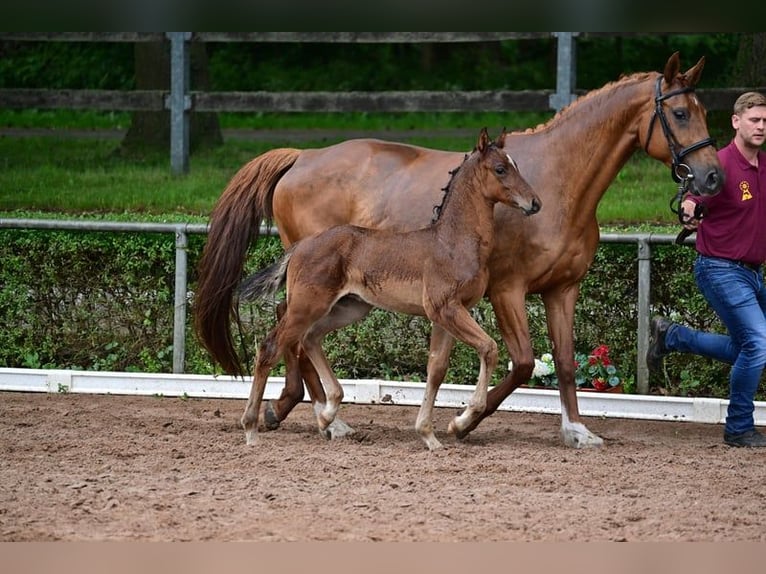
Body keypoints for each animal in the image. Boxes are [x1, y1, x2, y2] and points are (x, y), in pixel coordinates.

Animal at [236, 128, 541, 450]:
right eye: (500, 168)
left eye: (515, 165)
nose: (534, 203)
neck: (452, 241)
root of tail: (300, 246)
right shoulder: (446, 309)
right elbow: (489, 348)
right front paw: (462, 418)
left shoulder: (446, 315)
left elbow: (436, 369)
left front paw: (429, 435)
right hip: (307, 306)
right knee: (270, 347)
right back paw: (252, 428)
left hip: (349, 308)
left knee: (310, 338)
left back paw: (328, 415)